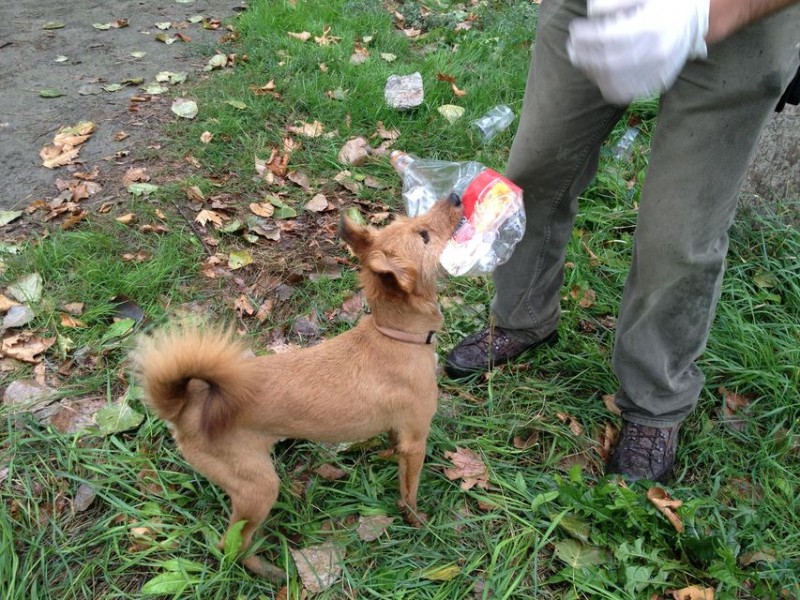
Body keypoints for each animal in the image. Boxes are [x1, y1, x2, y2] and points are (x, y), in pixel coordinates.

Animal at [134, 195, 462, 580]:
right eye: (424, 235)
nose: (455, 197)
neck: (394, 335)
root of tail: (185, 405)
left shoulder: (400, 433)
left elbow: (390, 446)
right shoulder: (415, 441)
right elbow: (409, 491)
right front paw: (416, 520)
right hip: (258, 489)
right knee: (231, 544)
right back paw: (268, 571)